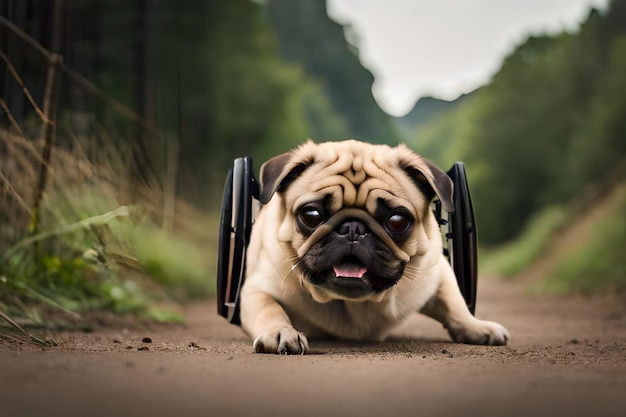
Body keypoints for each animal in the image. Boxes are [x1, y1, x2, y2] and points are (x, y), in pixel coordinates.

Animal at [239, 138, 508, 352]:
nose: (353, 228)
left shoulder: (437, 274)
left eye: (398, 221)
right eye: (311, 215)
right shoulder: (256, 289)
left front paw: (477, 327)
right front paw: (280, 332)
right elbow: (270, 308)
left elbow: (456, 304)